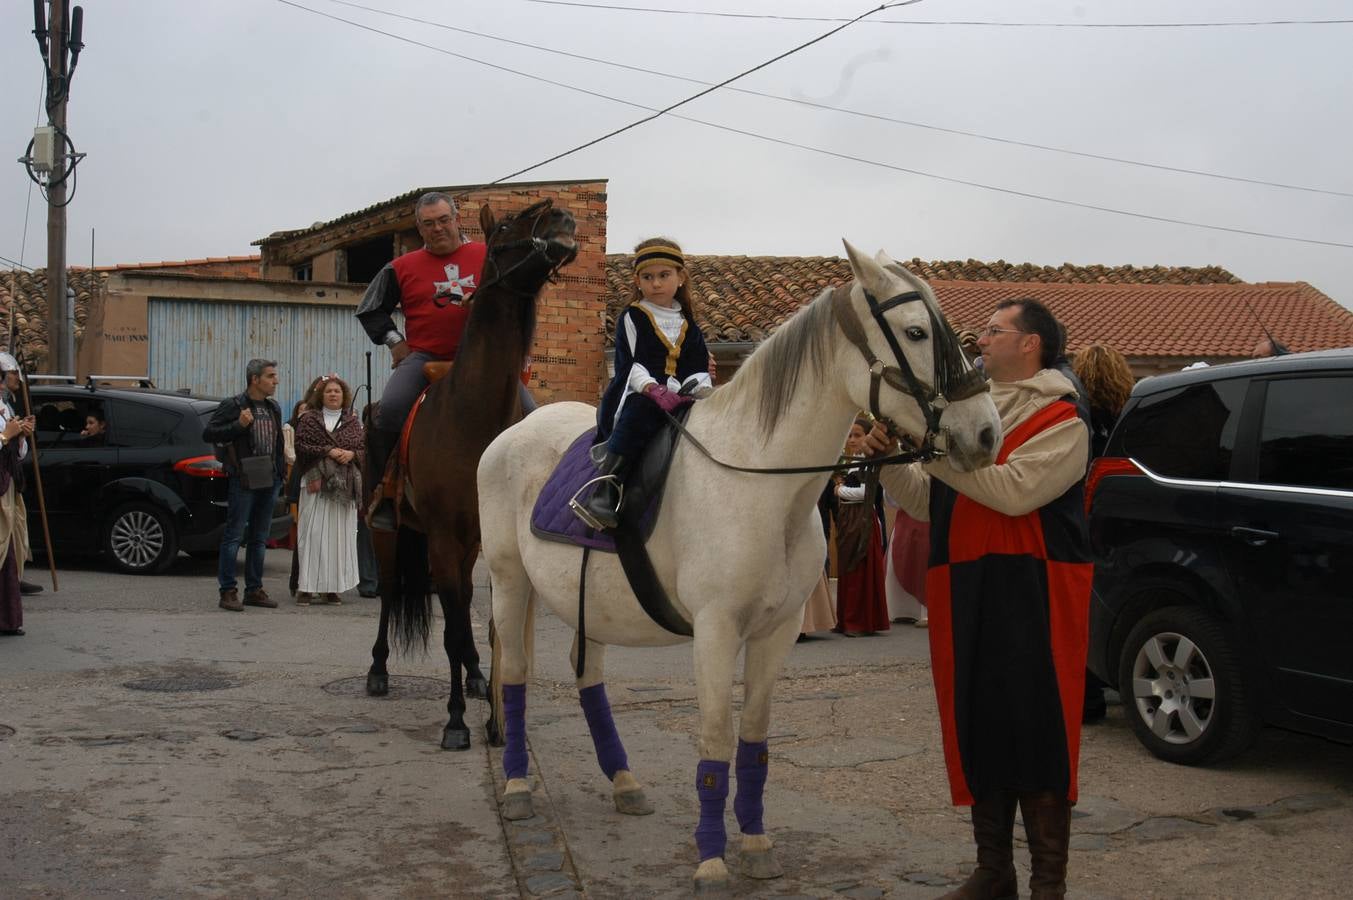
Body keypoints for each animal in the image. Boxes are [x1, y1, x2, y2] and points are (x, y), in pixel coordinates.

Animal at [368, 198, 579, 752]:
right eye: (505, 225)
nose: (563, 217)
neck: (472, 417)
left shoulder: (484, 541)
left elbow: (480, 625)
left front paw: (487, 699)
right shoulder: (442, 537)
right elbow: (452, 630)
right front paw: (457, 721)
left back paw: (478, 676)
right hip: (389, 535)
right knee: (393, 593)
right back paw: (378, 671)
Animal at [481, 242, 1001, 887]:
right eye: (916, 331)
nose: (986, 433)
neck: (759, 477)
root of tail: (514, 433)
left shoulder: (777, 631)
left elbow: (753, 738)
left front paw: (754, 844)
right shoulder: (716, 631)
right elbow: (715, 741)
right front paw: (710, 860)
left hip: (587, 603)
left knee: (589, 679)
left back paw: (624, 782)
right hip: (510, 583)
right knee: (514, 675)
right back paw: (518, 787)